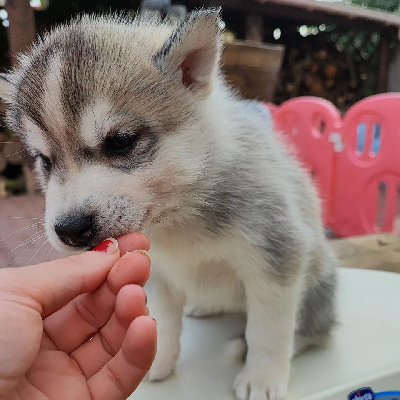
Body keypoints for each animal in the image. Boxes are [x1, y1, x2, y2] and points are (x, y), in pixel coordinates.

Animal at [0, 10, 338, 400]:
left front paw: (263, 378)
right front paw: (155, 360)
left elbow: (268, 331)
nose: (69, 230)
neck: (180, 214)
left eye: (121, 141)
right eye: (44, 161)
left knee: (315, 330)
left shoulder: (276, 255)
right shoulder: (158, 273)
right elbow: (162, 320)